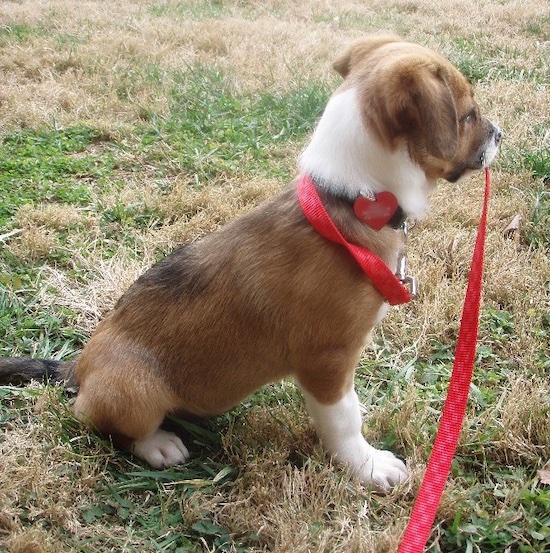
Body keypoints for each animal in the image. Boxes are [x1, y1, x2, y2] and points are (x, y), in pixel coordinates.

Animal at [0, 34, 504, 492]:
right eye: (468, 115)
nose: (501, 134)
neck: (348, 197)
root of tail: (79, 370)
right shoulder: (326, 359)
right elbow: (342, 421)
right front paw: (367, 466)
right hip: (133, 389)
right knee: (97, 421)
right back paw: (158, 444)